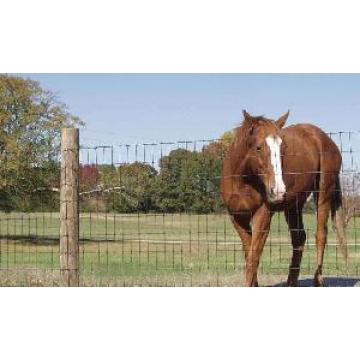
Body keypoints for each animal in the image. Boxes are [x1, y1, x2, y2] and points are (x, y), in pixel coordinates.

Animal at [221, 109, 348, 286]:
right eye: (258, 147)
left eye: (283, 148)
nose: (278, 191)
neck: (242, 181)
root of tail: (326, 139)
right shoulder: (237, 218)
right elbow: (249, 254)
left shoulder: (263, 216)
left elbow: (253, 259)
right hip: (294, 205)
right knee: (299, 238)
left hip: (323, 193)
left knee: (320, 235)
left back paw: (318, 281)